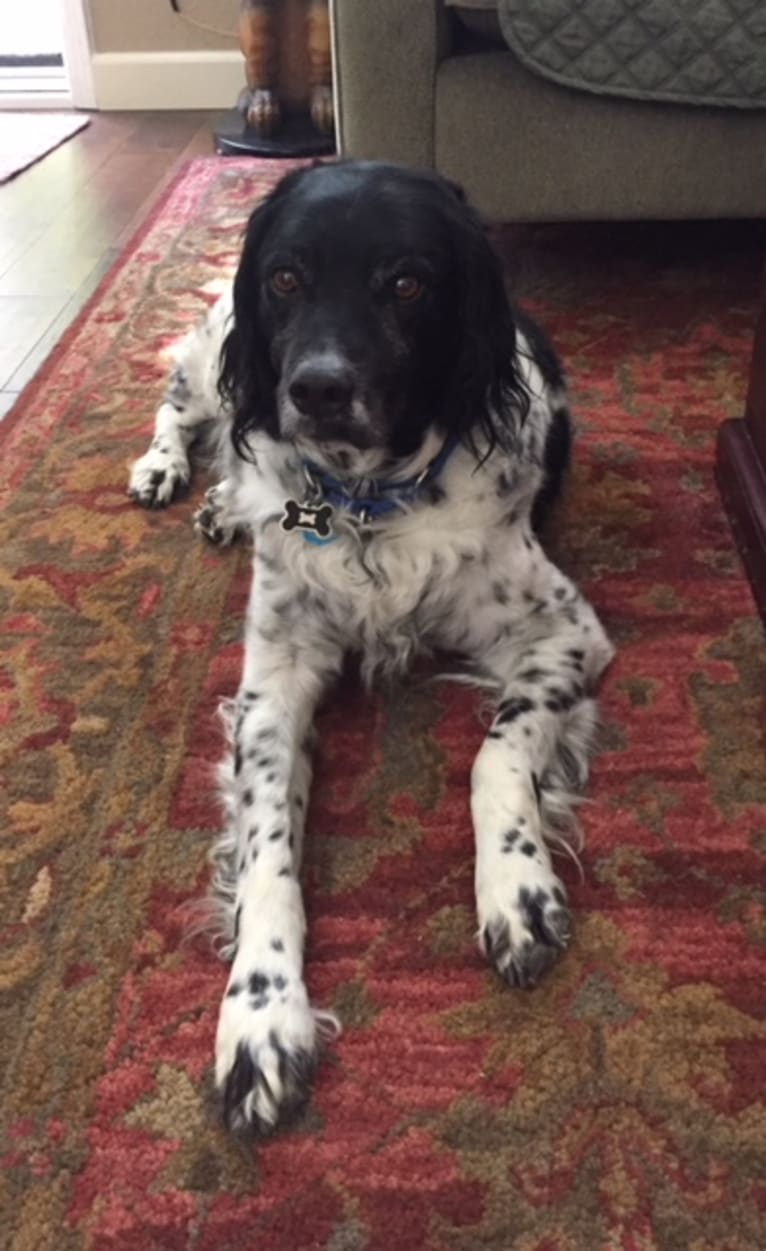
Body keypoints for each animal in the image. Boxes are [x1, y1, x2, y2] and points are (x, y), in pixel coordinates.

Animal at [128, 158, 613, 1135]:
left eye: (407, 284)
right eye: (285, 278)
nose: (317, 388)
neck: (362, 502)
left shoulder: (565, 631)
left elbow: (497, 754)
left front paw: (518, 887)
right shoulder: (273, 683)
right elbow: (269, 845)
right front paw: (260, 1014)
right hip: (212, 366)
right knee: (179, 405)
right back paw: (173, 475)